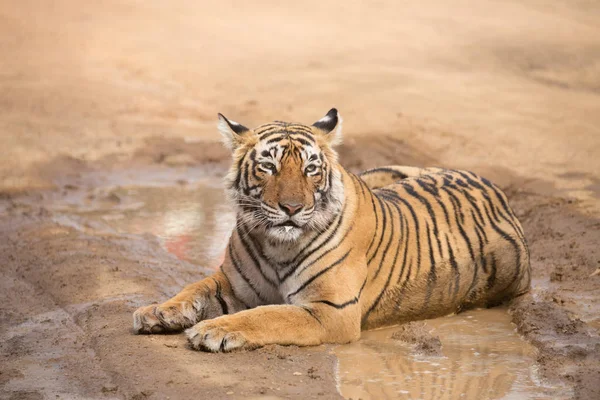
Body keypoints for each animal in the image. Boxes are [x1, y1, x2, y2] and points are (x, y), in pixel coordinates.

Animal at [132, 108, 528, 352]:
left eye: (310, 168)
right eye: (268, 166)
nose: (292, 208)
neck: (277, 245)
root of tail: (498, 193)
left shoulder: (330, 310)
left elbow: (267, 315)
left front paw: (215, 329)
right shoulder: (232, 281)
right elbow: (193, 288)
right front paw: (157, 311)